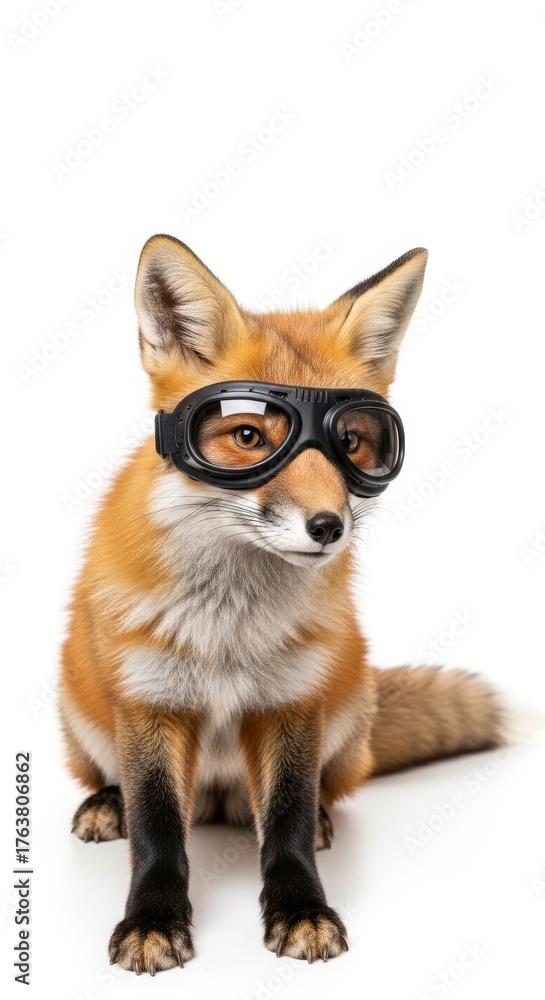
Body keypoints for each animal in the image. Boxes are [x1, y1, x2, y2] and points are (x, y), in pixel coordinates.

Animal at [59, 235, 504, 975]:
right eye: (248, 438)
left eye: (350, 441)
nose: (329, 527)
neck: (227, 627)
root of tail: (217, 798)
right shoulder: (151, 702)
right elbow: (156, 832)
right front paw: (151, 920)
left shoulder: (292, 700)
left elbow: (288, 824)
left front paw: (301, 910)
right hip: (81, 705)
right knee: (123, 788)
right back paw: (106, 803)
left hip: (346, 706)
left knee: (302, 802)